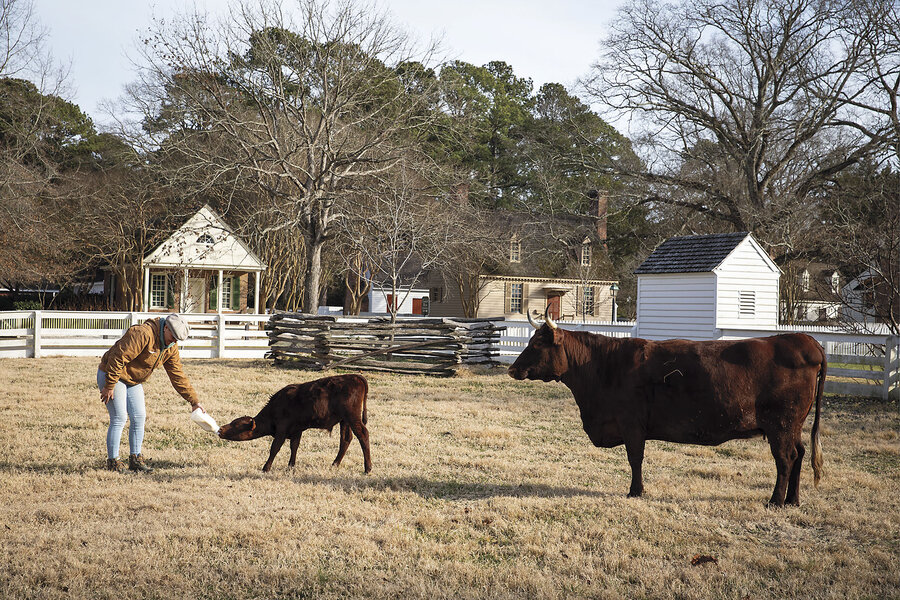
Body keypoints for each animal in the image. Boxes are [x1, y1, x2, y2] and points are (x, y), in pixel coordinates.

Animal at [218, 374, 372, 474]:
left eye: (236, 426)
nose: (220, 429)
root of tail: (355, 377)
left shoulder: (281, 429)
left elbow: (275, 448)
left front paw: (266, 468)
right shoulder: (297, 430)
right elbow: (294, 447)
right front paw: (291, 466)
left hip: (352, 417)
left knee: (363, 435)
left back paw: (368, 468)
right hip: (344, 421)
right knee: (346, 439)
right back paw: (335, 464)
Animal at [508, 308, 825, 506]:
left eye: (538, 345)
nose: (512, 369)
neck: (604, 365)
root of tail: (805, 340)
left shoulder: (632, 424)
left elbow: (635, 459)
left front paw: (636, 491)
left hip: (780, 424)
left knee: (785, 458)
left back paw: (775, 501)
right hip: (793, 425)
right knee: (799, 454)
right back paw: (793, 500)